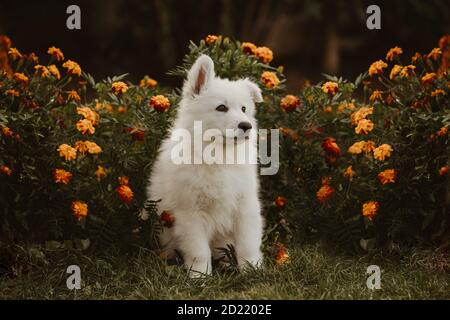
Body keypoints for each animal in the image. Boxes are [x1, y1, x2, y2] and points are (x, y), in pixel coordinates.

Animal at [146, 53, 266, 276]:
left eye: (244, 109)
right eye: (221, 107)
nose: (246, 126)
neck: (219, 154)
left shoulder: (245, 205)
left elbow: (248, 244)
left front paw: (253, 269)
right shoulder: (190, 213)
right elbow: (199, 251)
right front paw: (200, 276)